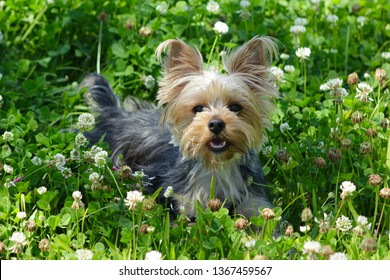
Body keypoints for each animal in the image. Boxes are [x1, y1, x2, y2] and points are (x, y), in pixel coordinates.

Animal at [81, 36, 278, 221]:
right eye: (198, 108)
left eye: (236, 107)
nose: (216, 124)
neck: (216, 165)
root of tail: (115, 114)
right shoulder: (183, 204)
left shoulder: (254, 201)